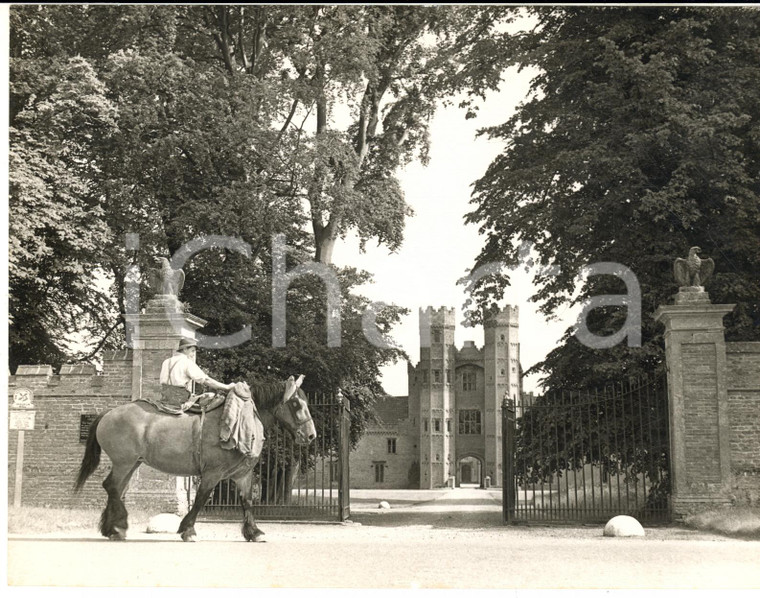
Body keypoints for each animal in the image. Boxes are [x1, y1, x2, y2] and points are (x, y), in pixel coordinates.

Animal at [73, 380, 314, 544]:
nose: (311, 435)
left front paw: (254, 532)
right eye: (295, 403)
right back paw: (119, 526)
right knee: (113, 487)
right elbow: (200, 500)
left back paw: (112, 528)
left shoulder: (242, 474)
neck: (246, 415)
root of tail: (108, 413)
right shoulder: (212, 473)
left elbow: (247, 502)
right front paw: (187, 529)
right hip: (124, 462)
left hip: (131, 463)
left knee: (115, 488)